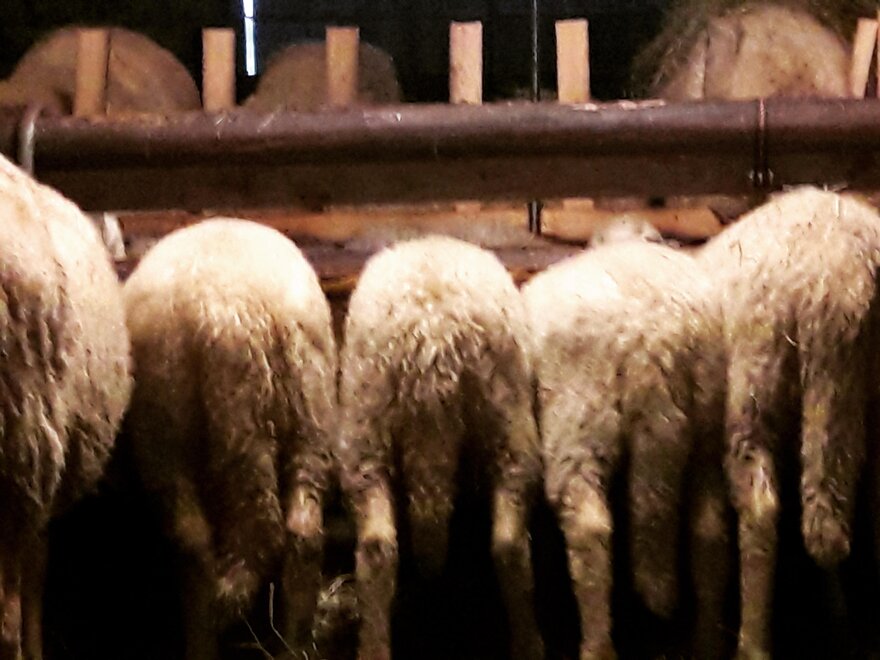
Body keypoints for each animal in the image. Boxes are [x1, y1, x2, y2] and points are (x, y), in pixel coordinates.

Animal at [122, 218, 337, 660]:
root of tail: (248, 312)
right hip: (310, 412)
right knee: (303, 532)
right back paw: (293, 644)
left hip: (178, 436)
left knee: (198, 544)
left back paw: (204, 635)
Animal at [522, 219, 731, 659]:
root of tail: (652, 342)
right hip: (706, 429)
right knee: (709, 528)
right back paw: (707, 640)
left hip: (578, 426)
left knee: (590, 529)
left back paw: (596, 646)